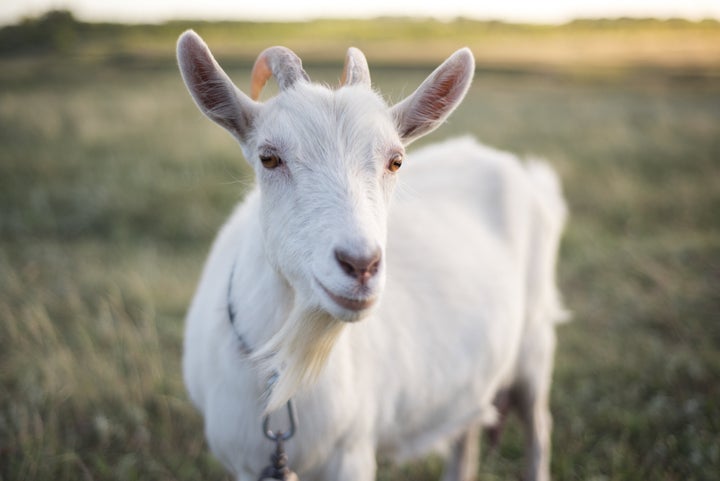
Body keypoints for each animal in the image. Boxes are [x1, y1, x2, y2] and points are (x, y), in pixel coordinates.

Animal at [176, 30, 568, 480]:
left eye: (395, 161)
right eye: (268, 157)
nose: (360, 265)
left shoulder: (352, 452)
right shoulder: (245, 464)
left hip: (535, 345)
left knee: (539, 426)